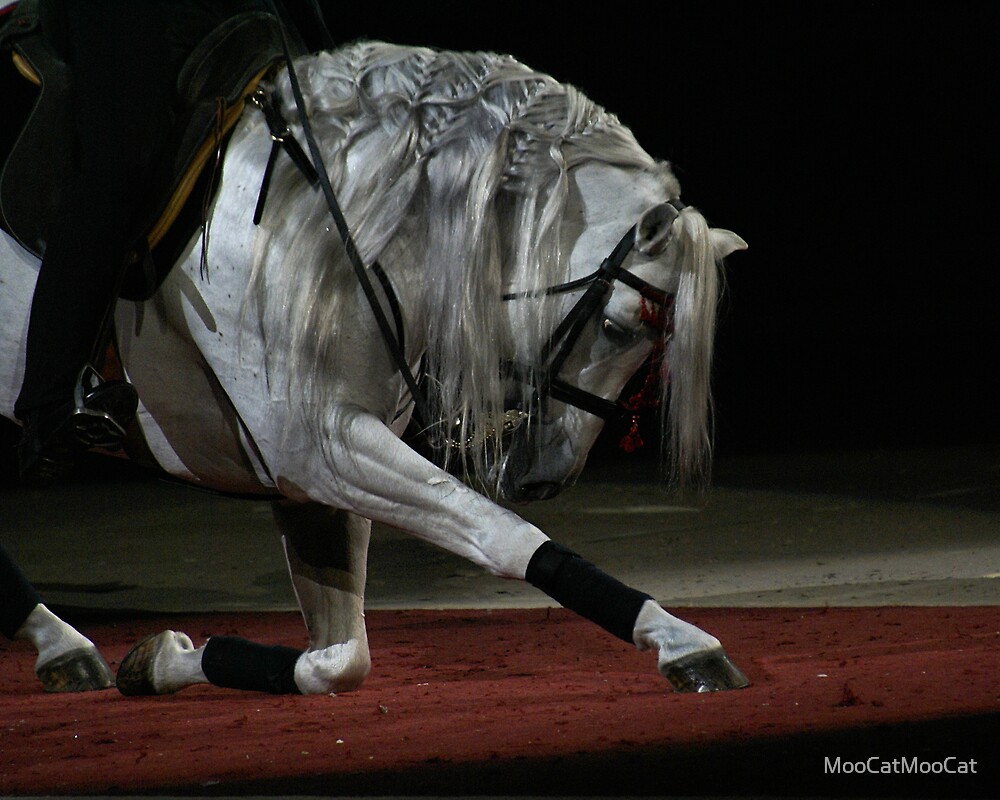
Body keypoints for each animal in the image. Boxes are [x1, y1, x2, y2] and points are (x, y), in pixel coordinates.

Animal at [1, 41, 748, 695]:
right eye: (619, 327)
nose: (547, 477)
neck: (328, 222)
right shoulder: (319, 448)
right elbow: (498, 534)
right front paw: (683, 642)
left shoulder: (310, 479)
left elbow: (341, 658)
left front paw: (163, 660)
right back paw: (60, 642)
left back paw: (65, 648)